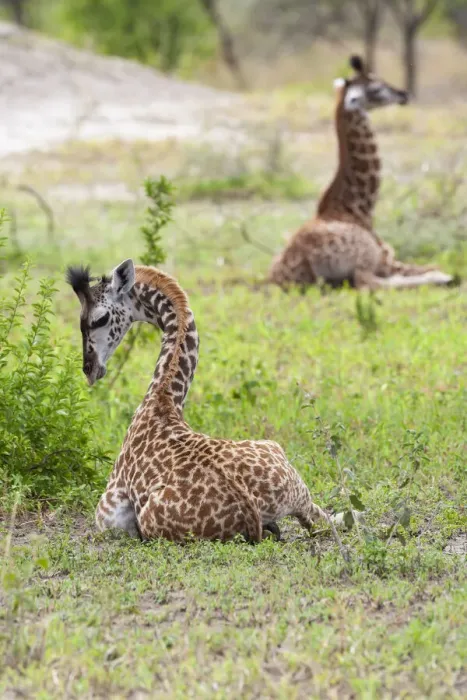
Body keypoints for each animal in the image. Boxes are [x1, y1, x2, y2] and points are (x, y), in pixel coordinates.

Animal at [67, 260, 346, 552]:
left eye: (98, 319)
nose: (90, 369)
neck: (161, 400)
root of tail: (252, 511)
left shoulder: (109, 509)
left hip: (152, 523)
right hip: (293, 480)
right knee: (328, 519)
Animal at [269, 55, 452, 290]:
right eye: (376, 88)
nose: (404, 94)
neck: (359, 208)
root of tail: (301, 266)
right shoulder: (385, 259)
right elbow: (430, 265)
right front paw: (442, 275)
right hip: (364, 258)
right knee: (369, 283)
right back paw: (442, 278)